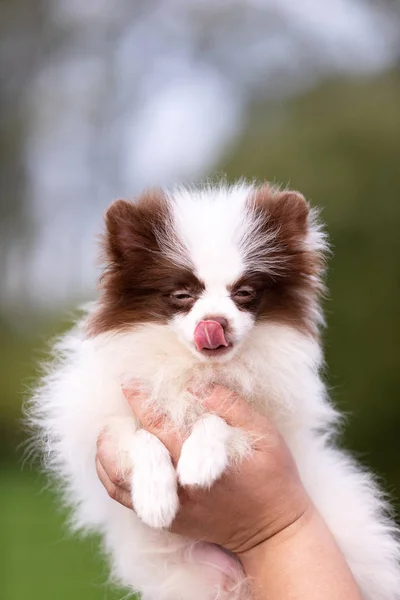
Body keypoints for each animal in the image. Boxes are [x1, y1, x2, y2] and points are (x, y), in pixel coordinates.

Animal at [28, 183, 400, 600]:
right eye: (182, 295)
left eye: (244, 293)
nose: (214, 323)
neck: (200, 368)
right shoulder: (105, 421)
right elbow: (139, 435)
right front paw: (155, 496)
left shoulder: (266, 422)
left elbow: (216, 417)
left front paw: (199, 461)